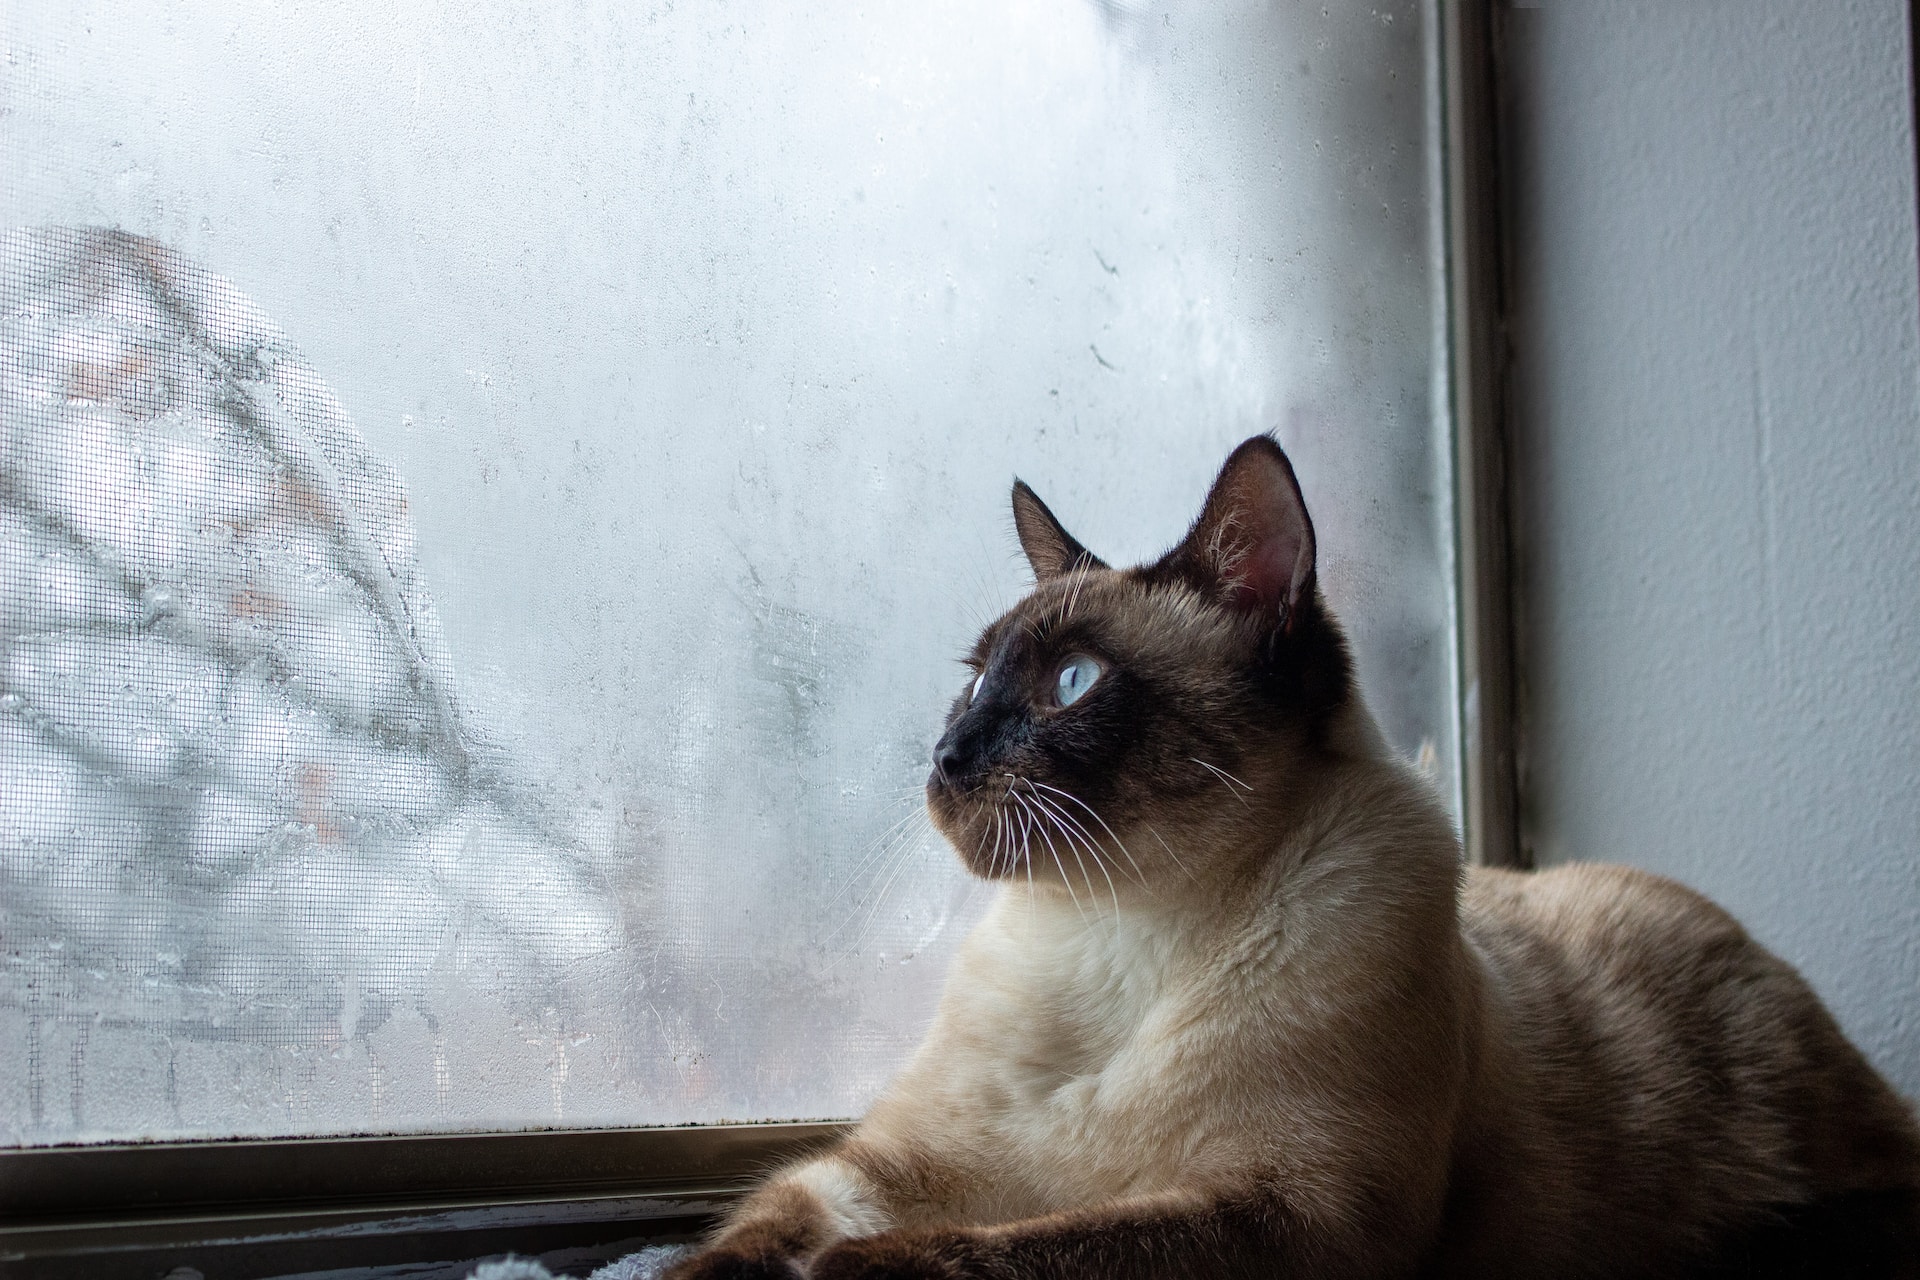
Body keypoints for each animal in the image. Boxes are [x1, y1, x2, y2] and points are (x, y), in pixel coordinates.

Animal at [664, 435, 1920, 1274]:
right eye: (973, 682)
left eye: (1072, 680)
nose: (945, 751)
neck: (1116, 929)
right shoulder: (895, 1165)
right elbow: (747, 1232)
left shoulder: (1298, 1211)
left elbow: (1031, 1246)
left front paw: (852, 1270)